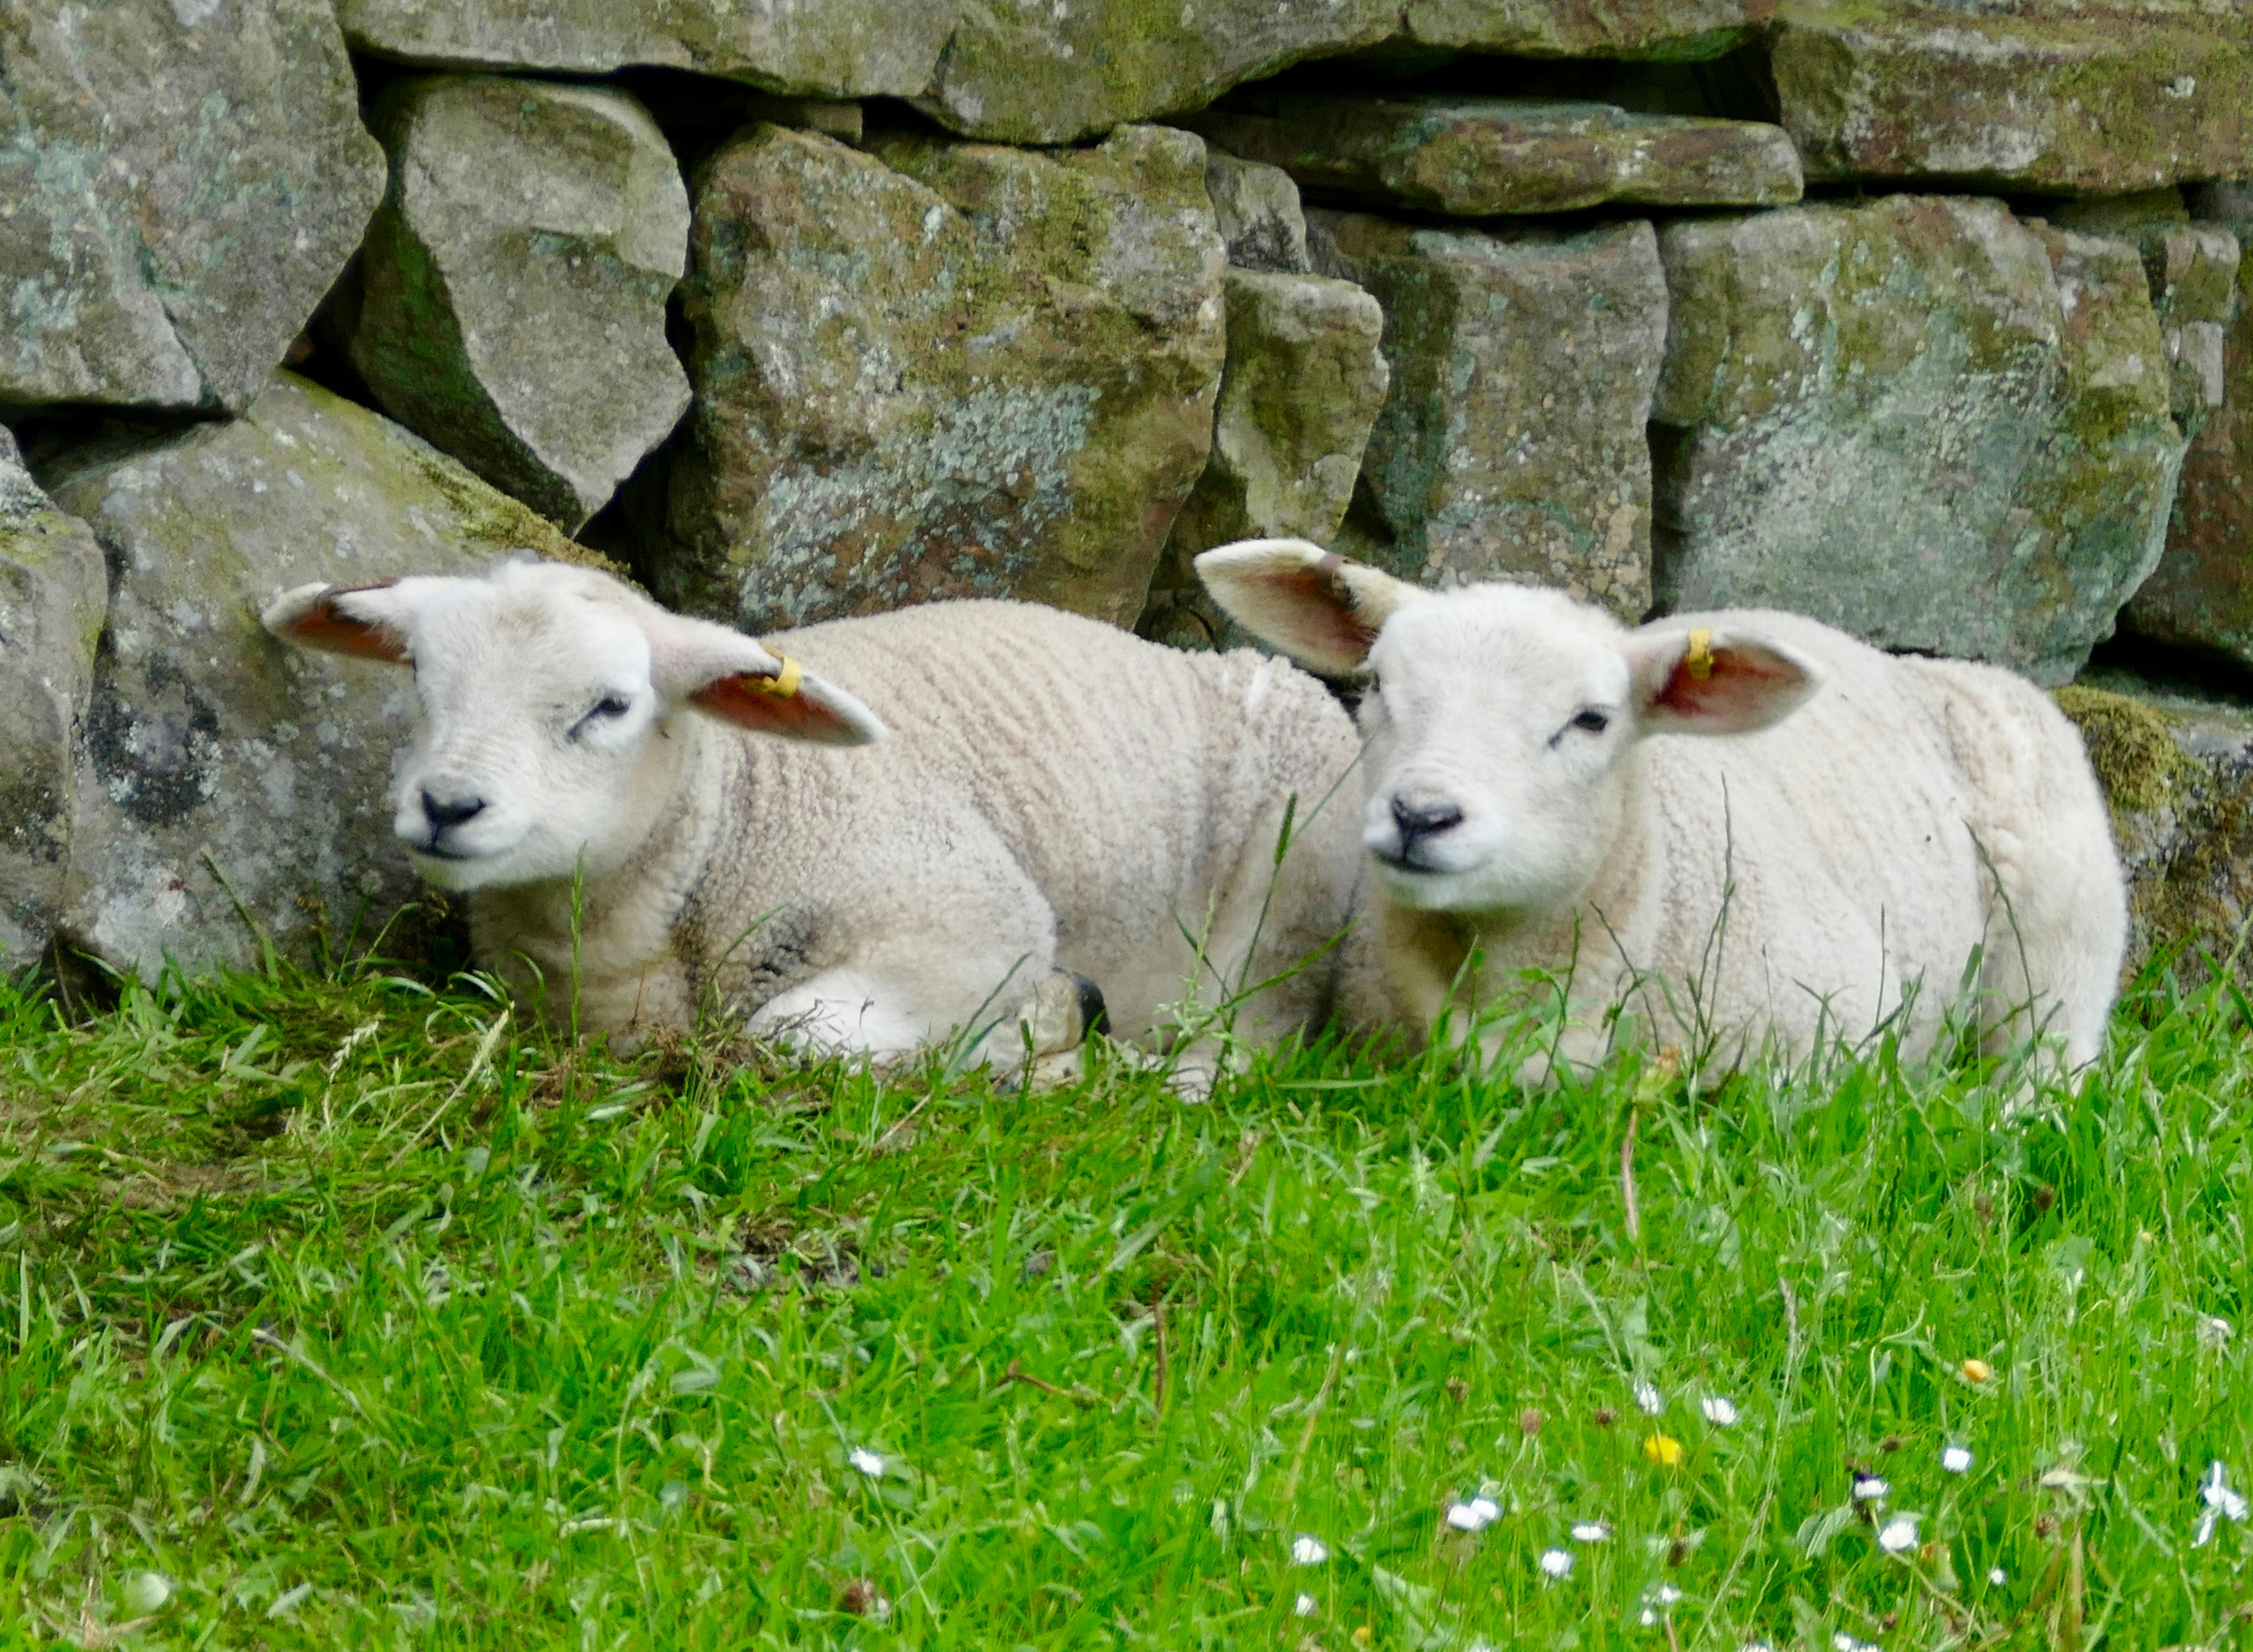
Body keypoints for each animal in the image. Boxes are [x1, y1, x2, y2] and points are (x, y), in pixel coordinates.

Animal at [262, 557, 1367, 1078]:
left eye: (611, 705)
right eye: (417, 671)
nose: (447, 804)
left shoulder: (978, 916)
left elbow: (791, 1031)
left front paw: (1037, 1031)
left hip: (1279, 924)